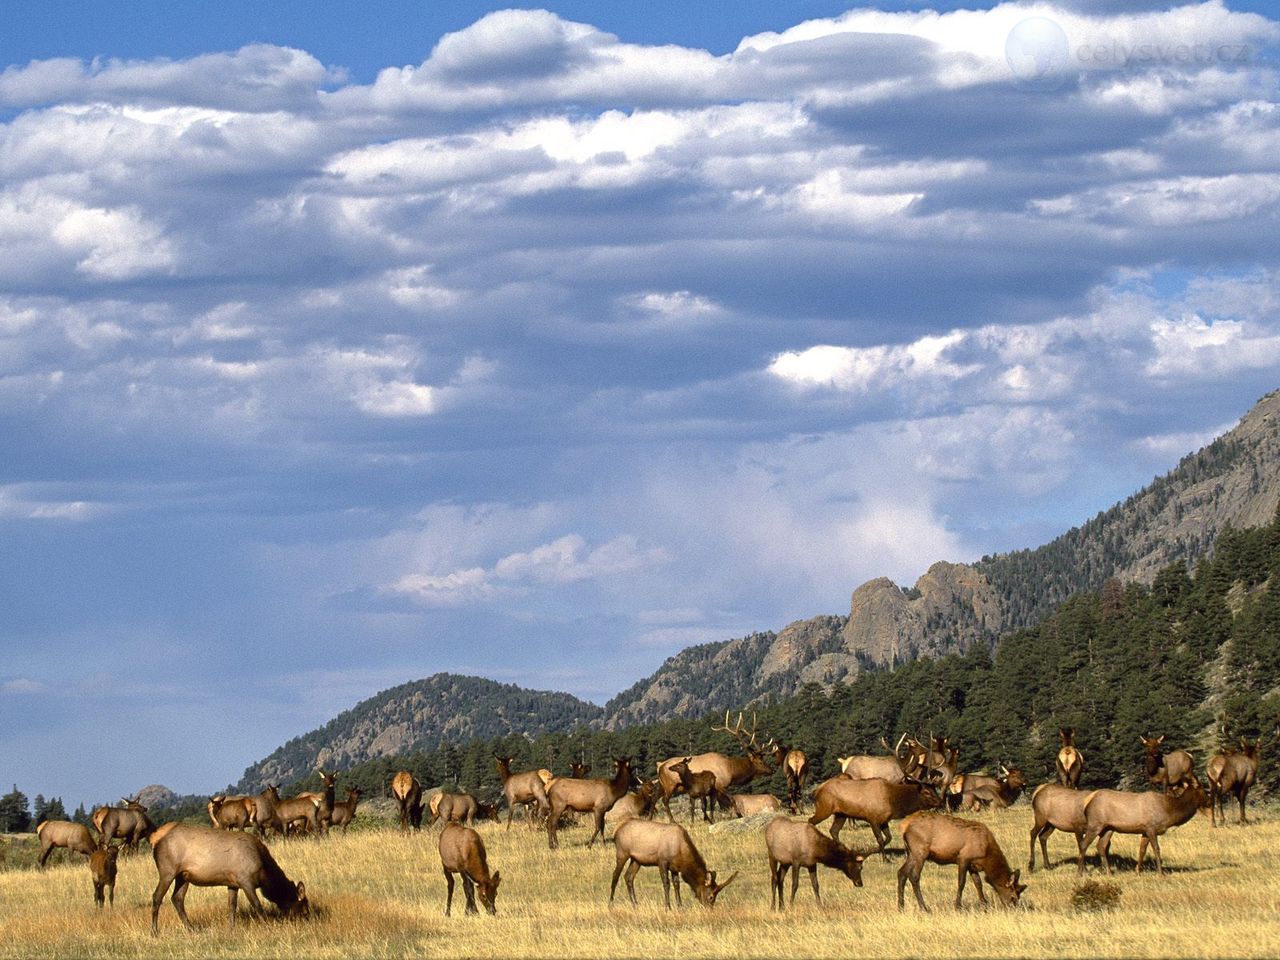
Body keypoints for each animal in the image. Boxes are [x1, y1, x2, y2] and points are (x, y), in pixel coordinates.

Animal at [148, 824, 308, 936]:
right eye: (304, 909)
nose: (307, 921)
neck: (265, 874)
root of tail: (155, 842)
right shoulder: (246, 881)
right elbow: (257, 906)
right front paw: (268, 928)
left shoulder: (233, 884)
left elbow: (232, 907)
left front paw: (231, 929)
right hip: (168, 871)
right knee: (157, 897)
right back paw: (155, 932)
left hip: (183, 876)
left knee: (177, 898)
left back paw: (191, 929)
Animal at [611, 824, 742, 911]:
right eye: (710, 896)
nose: (710, 909)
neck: (681, 852)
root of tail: (616, 832)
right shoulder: (662, 861)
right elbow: (666, 883)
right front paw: (668, 907)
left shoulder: (674, 867)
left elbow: (676, 885)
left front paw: (680, 906)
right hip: (622, 853)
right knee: (615, 876)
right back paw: (610, 903)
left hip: (637, 860)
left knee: (628, 877)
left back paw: (635, 904)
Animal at [808, 778, 942, 860]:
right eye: (926, 792)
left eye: (934, 789)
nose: (940, 801)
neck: (893, 802)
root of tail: (817, 790)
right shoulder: (873, 818)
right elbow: (880, 839)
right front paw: (885, 859)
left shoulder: (884, 820)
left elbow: (888, 838)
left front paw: (867, 853)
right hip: (824, 808)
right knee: (811, 821)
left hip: (841, 814)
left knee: (834, 830)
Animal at [901, 814, 1029, 911]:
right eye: (1013, 897)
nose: (1014, 909)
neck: (986, 854)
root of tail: (904, 829)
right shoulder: (963, 858)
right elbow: (961, 883)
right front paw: (958, 906)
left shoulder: (973, 866)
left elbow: (978, 883)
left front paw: (984, 904)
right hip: (920, 852)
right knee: (914, 876)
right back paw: (924, 907)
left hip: (911, 853)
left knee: (901, 873)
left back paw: (901, 906)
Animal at [1080, 778, 1208, 875]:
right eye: (1203, 790)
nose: (1209, 802)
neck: (1168, 811)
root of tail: (1087, 802)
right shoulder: (1151, 828)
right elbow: (1156, 849)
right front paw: (1160, 873)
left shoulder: (1145, 831)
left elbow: (1142, 850)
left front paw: (1137, 872)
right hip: (1095, 824)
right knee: (1083, 845)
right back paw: (1080, 873)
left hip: (1108, 828)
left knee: (1101, 846)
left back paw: (1109, 872)